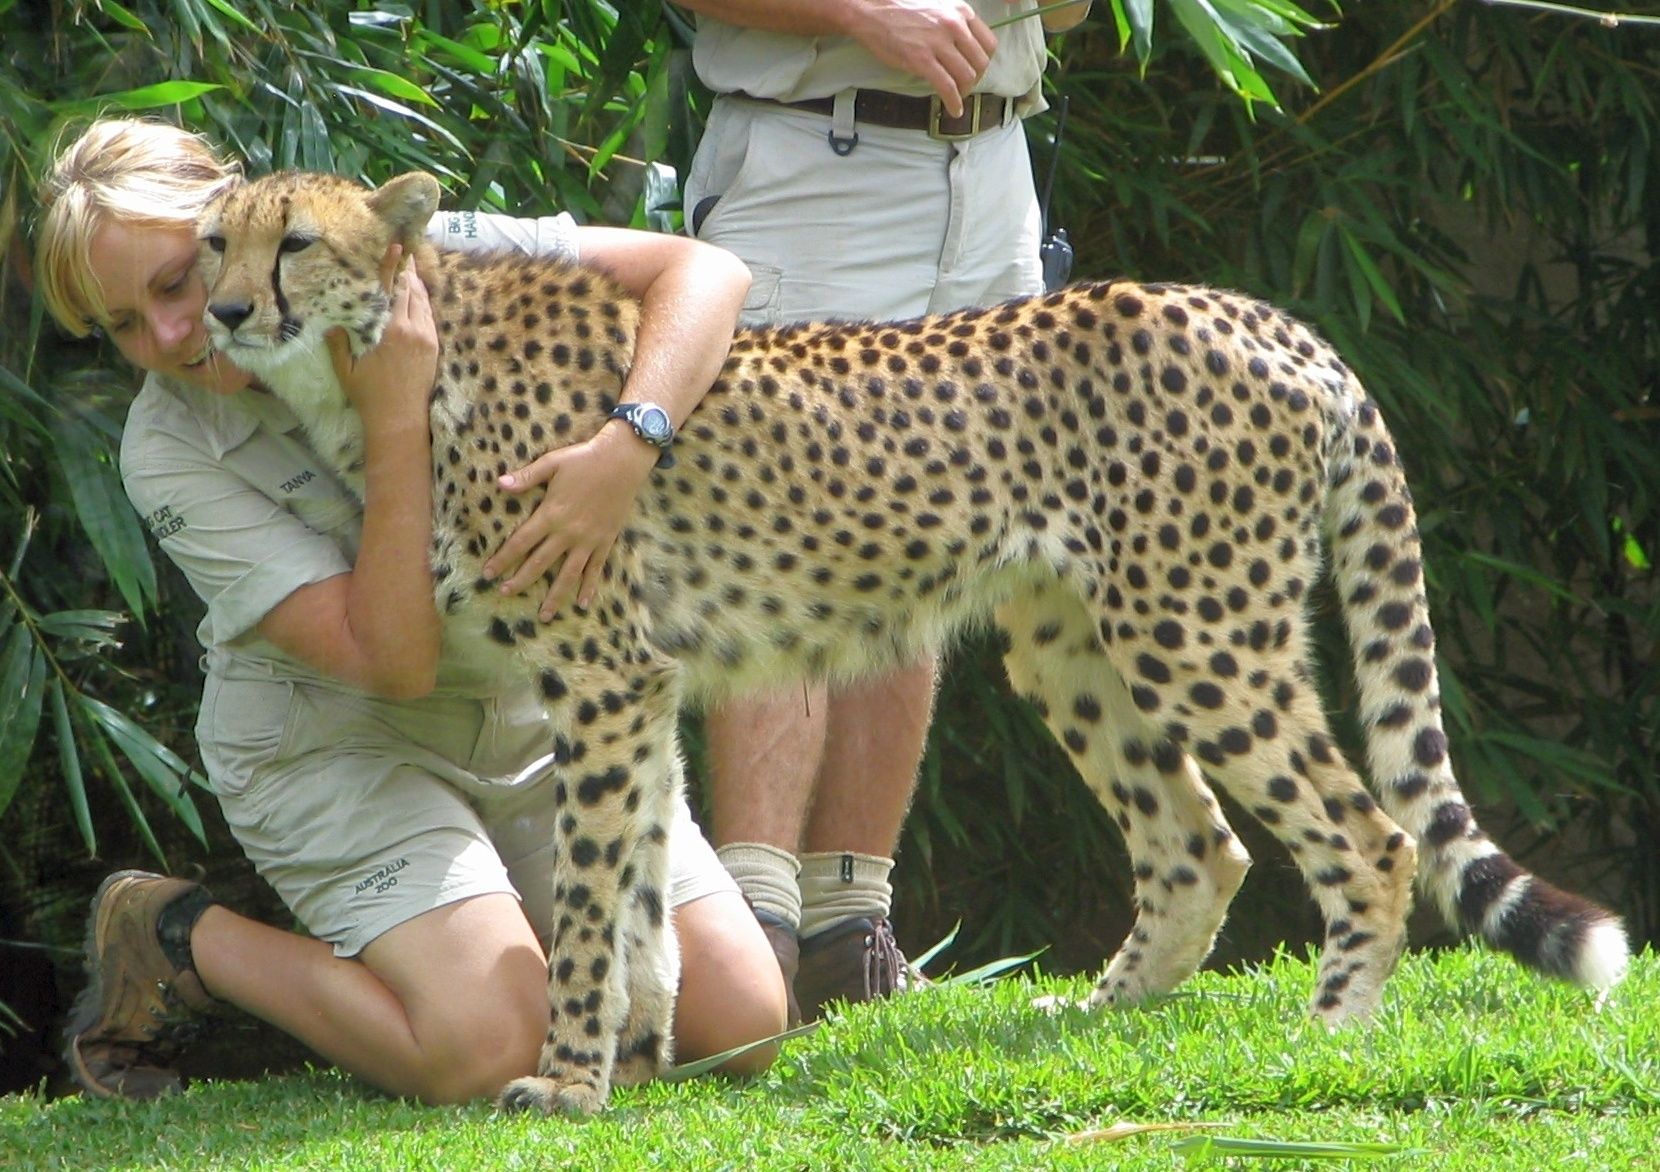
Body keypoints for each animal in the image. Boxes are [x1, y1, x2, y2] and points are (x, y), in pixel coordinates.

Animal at [197, 170, 1633, 1115]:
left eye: (297, 243)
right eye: (212, 242)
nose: (218, 314)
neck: (399, 368)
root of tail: (1268, 316)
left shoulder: (600, 674)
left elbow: (596, 894)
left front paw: (565, 1080)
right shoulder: (641, 684)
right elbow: (645, 888)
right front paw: (641, 1061)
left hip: (1197, 629)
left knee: (1368, 834)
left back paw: (1326, 1034)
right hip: (1072, 644)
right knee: (1197, 840)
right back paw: (1105, 1014)